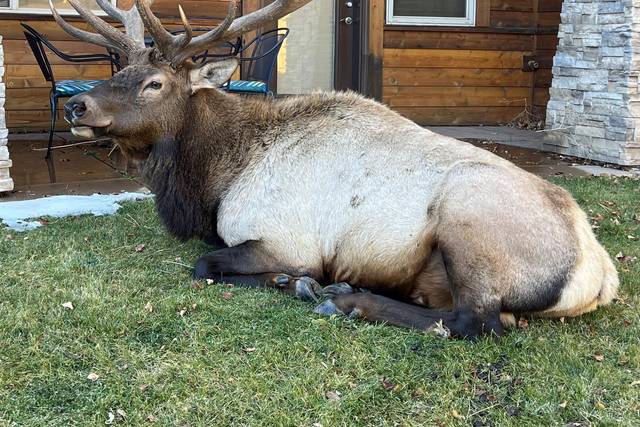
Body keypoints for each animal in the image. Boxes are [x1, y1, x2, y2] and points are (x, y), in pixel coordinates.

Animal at [51, 0, 619, 339]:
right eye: (119, 70)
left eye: (155, 84)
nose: (76, 106)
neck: (216, 178)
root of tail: (599, 276)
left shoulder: (285, 239)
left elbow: (206, 264)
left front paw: (296, 282)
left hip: (470, 215)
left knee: (474, 320)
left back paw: (349, 301)